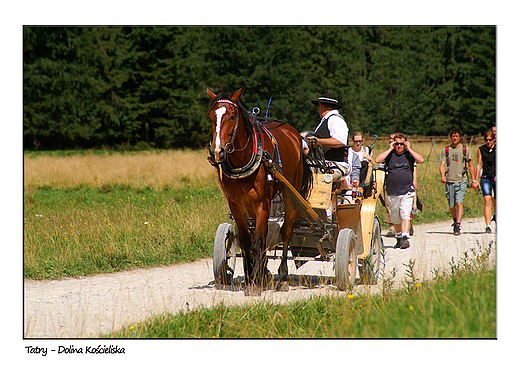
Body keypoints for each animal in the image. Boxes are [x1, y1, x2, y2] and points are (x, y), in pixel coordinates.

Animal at [207, 86, 312, 294]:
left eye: (232, 116)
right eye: (211, 116)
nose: (217, 151)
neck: (244, 160)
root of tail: (294, 133)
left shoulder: (262, 203)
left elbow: (256, 243)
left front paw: (255, 281)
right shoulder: (237, 206)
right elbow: (247, 242)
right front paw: (251, 277)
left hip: (290, 193)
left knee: (286, 232)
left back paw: (282, 276)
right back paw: (264, 272)